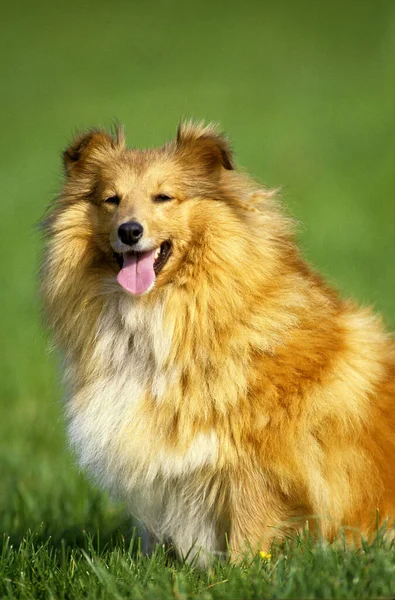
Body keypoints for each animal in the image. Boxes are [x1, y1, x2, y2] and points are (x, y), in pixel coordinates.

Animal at [39, 120, 395, 564]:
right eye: (111, 199)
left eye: (163, 196)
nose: (130, 231)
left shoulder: (255, 464)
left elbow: (250, 530)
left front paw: (242, 572)